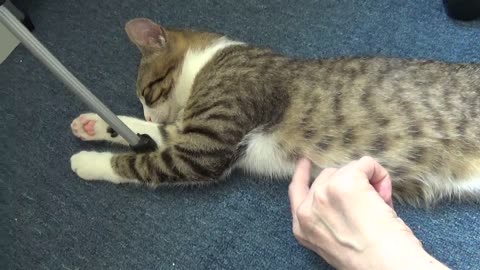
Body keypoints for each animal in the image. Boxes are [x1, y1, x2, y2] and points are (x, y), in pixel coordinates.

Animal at [70, 17, 480, 207]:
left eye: (148, 92)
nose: (154, 115)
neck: (209, 61)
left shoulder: (207, 148)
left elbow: (138, 163)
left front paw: (88, 161)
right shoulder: (189, 130)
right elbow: (144, 136)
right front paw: (94, 123)